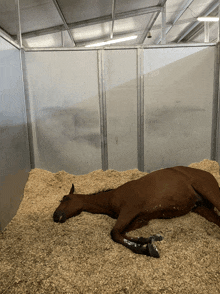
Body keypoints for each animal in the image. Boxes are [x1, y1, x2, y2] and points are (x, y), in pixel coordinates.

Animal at [53, 167, 220, 258]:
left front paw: (147, 249)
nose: (55, 216)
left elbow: (114, 233)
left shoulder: (129, 210)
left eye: (65, 198)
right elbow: (123, 233)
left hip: (210, 193)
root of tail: (208, 174)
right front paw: (149, 241)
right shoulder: (140, 219)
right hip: (202, 208)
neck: (113, 196)